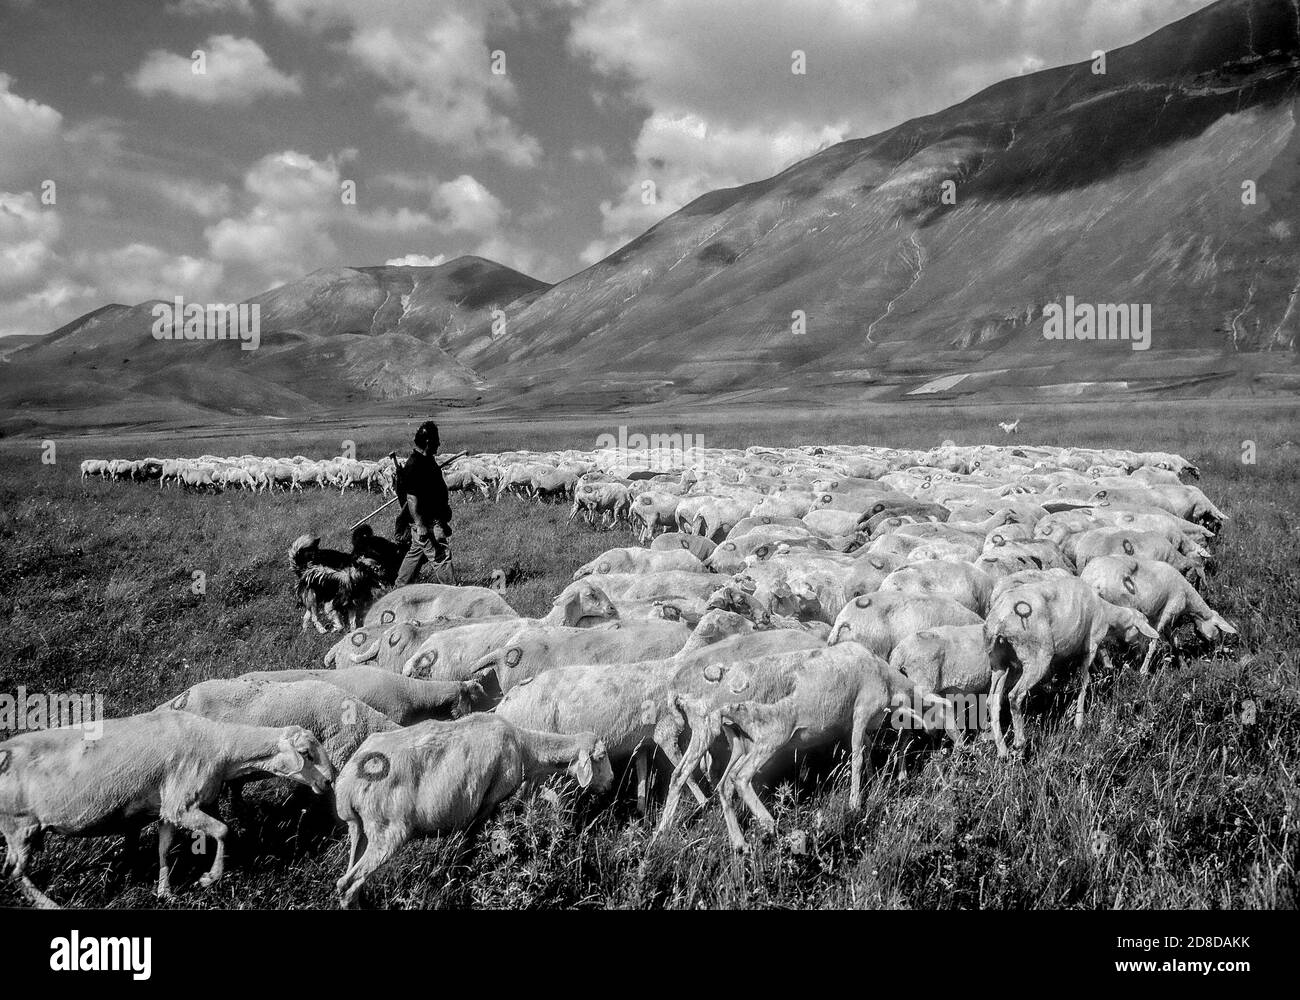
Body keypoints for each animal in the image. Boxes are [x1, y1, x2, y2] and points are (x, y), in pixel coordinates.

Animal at [0, 707, 332, 905]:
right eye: (306, 753)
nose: (329, 781)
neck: (222, 748)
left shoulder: (168, 809)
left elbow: (164, 849)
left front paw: (165, 893)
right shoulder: (182, 804)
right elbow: (223, 831)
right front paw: (208, 878)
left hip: (22, 831)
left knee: (11, 870)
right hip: (19, 825)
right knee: (16, 872)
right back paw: (49, 904)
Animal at [332, 712, 611, 910]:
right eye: (600, 757)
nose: (611, 782)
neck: (524, 747)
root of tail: (347, 786)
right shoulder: (490, 800)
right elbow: (470, 843)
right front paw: (462, 876)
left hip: (358, 828)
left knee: (347, 878)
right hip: (388, 830)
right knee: (347, 884)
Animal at [982, 572, 1159, 754]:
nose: (1143, 651)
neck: (1107, 613)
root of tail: (998, 620)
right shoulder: (1091, 644)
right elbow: (1085, 680)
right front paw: (1079, 721)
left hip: (1000, 661)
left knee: (992, 701)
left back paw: (1002, 750)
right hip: (1037, 655)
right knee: (1015, 696)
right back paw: (1019, 742)